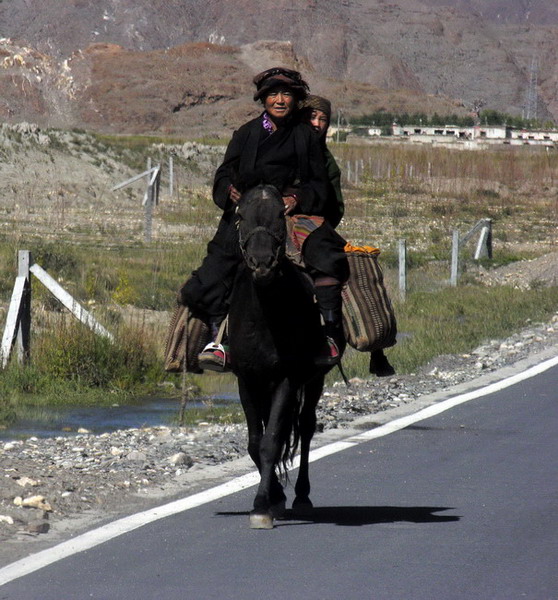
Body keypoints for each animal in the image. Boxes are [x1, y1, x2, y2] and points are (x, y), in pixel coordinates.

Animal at [226, 184, 342, 528]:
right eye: (240, 215)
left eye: (281, 214)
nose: (262, 262)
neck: (264, 317)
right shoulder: (248, 380)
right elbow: (255, 441)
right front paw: (273, 497)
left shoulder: (287, 379)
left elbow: (272, 440)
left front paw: (262, 506)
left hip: (314, 379)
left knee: (305, 427)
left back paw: (302, 496)